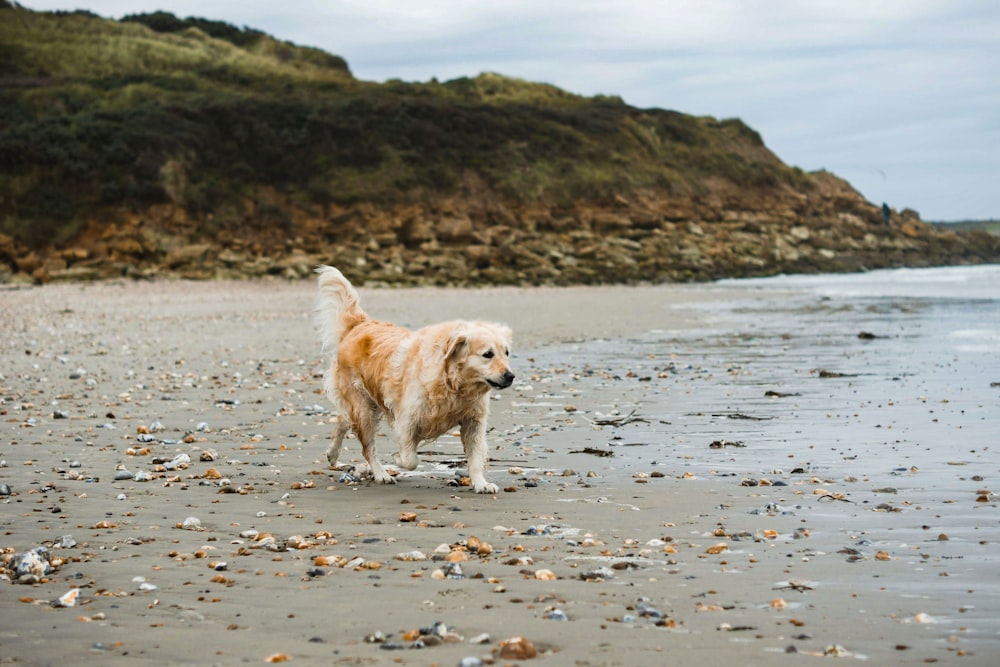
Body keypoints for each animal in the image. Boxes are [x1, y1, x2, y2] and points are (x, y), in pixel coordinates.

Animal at [312, 264, 516, 494]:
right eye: (487, 354)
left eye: (506, 352)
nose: (510, 376)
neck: (453, 384)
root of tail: (360, 325)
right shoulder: (408, 419)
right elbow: (410, 459)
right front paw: (396, 459)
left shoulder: (474, 421)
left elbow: (475, 457)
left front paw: (481, 483)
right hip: (363, 407)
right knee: (367, 446)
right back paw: (380, 473)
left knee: (343, 419)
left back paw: (333, 454)